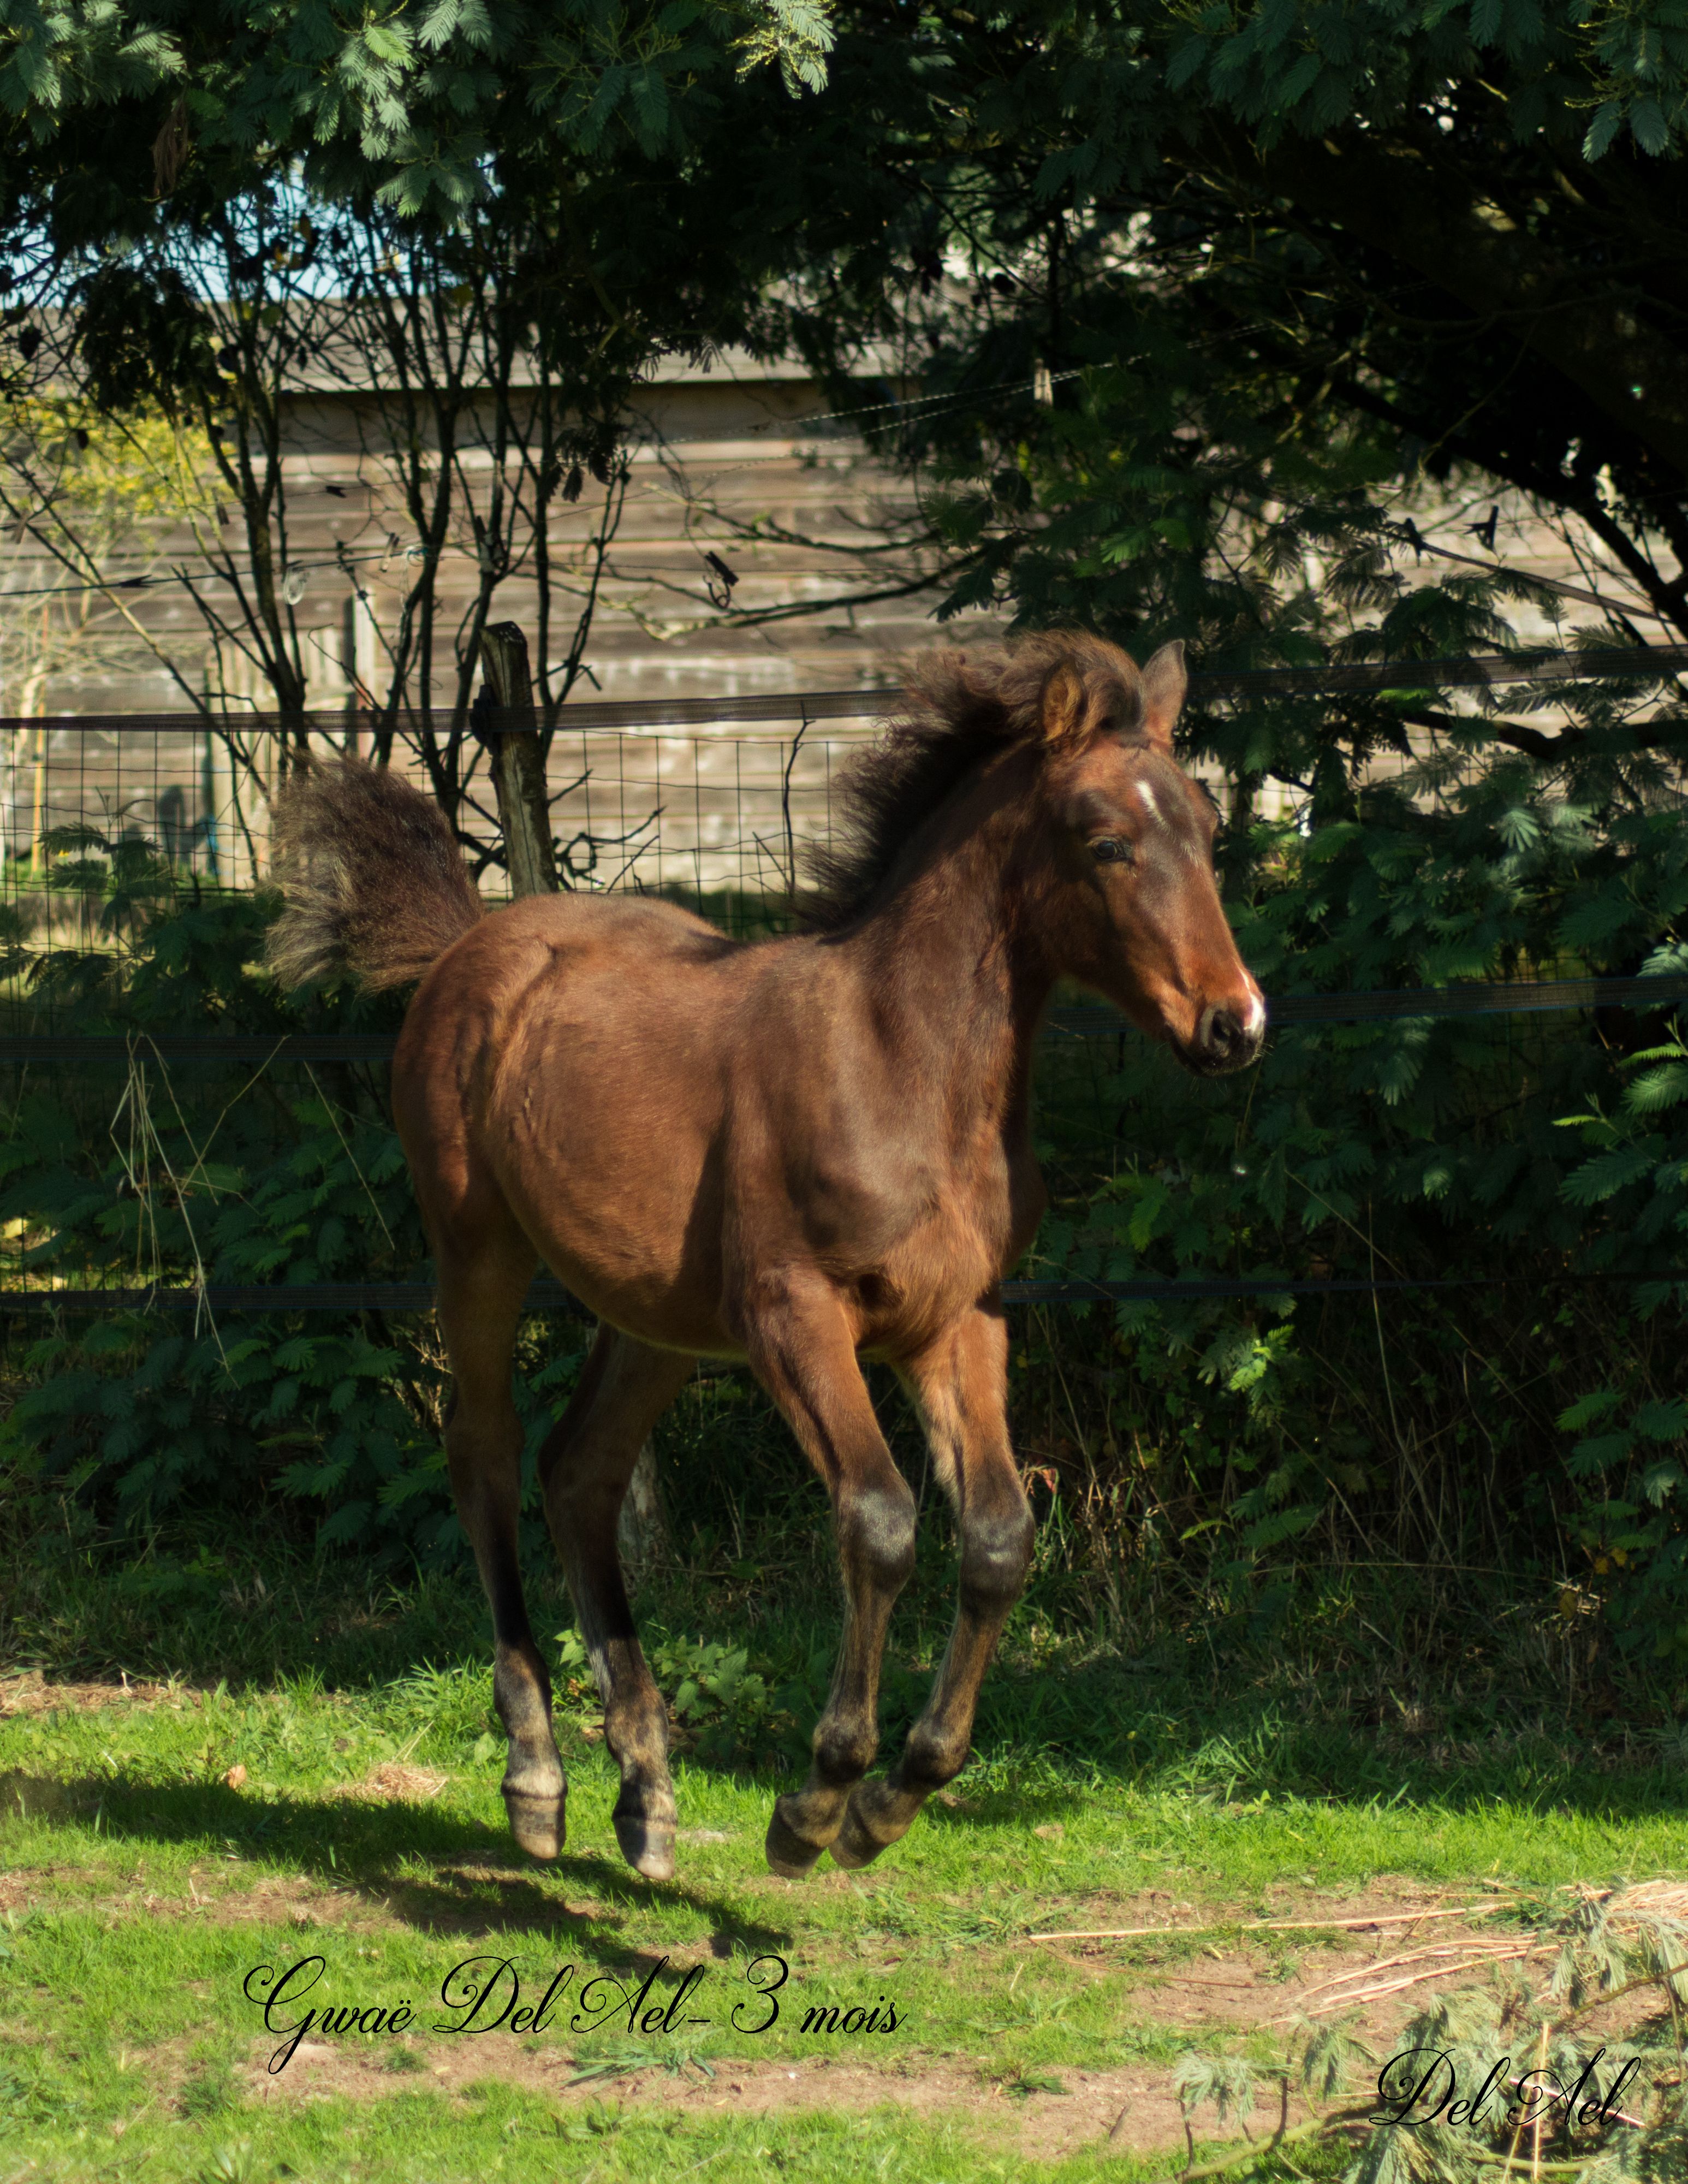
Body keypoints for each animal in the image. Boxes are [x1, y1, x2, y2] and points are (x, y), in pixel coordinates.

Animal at [266, 629, 1267, 1878]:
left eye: (1207, 828)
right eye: (1106, 842)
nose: (1236, 1023)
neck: (903, 1065)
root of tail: (467, 942)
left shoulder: (957, 1318)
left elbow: (996, 1538)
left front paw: (899, 1794)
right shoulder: (794, 1314)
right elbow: (881, 1521)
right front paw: (819, 1800)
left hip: (652, 1314)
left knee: (580, 1470)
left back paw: (646, 1792)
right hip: (478, 1250)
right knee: (485, 1454)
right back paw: (538, 1778)